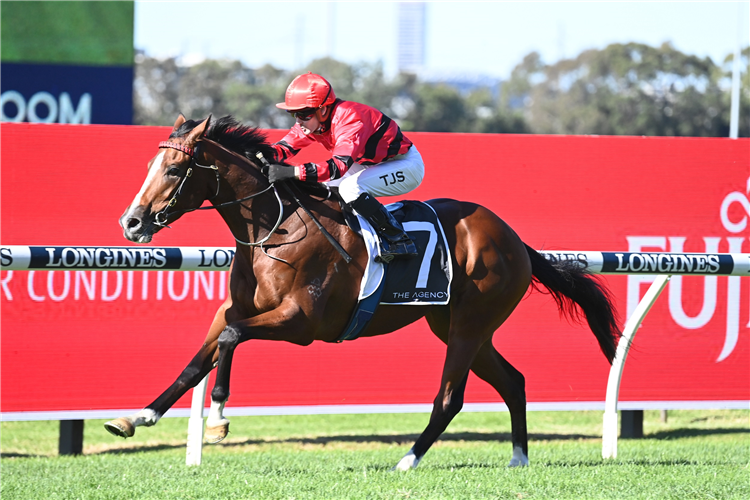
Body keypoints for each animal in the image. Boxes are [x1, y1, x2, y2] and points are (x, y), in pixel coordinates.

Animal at [107, 114, 624, 468]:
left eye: (175, 170)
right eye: (151, 163)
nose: (131, 223)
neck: (275, 228)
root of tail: (515, 239)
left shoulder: (300, 322)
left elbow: (232, 339)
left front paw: (217, 418)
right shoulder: (234, 310)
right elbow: (200, 357)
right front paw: (137, 417)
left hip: (469, 325)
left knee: (450, 398)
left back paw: (408, 460)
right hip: (458, 326)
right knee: (513, 381)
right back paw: (518, 456)